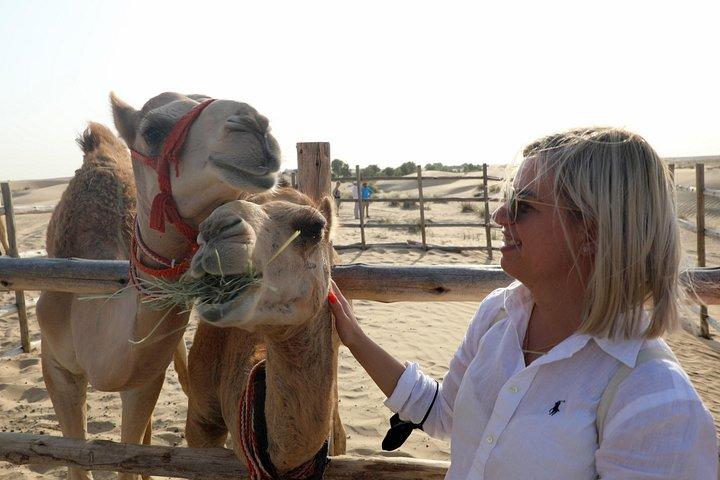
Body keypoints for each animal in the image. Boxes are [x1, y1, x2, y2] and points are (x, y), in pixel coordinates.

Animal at [36, 92, 282, 480]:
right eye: (152, 130)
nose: (255, 124)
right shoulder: (56, 366)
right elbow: (77, 462)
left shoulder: (145, 378)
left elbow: (128, 457)